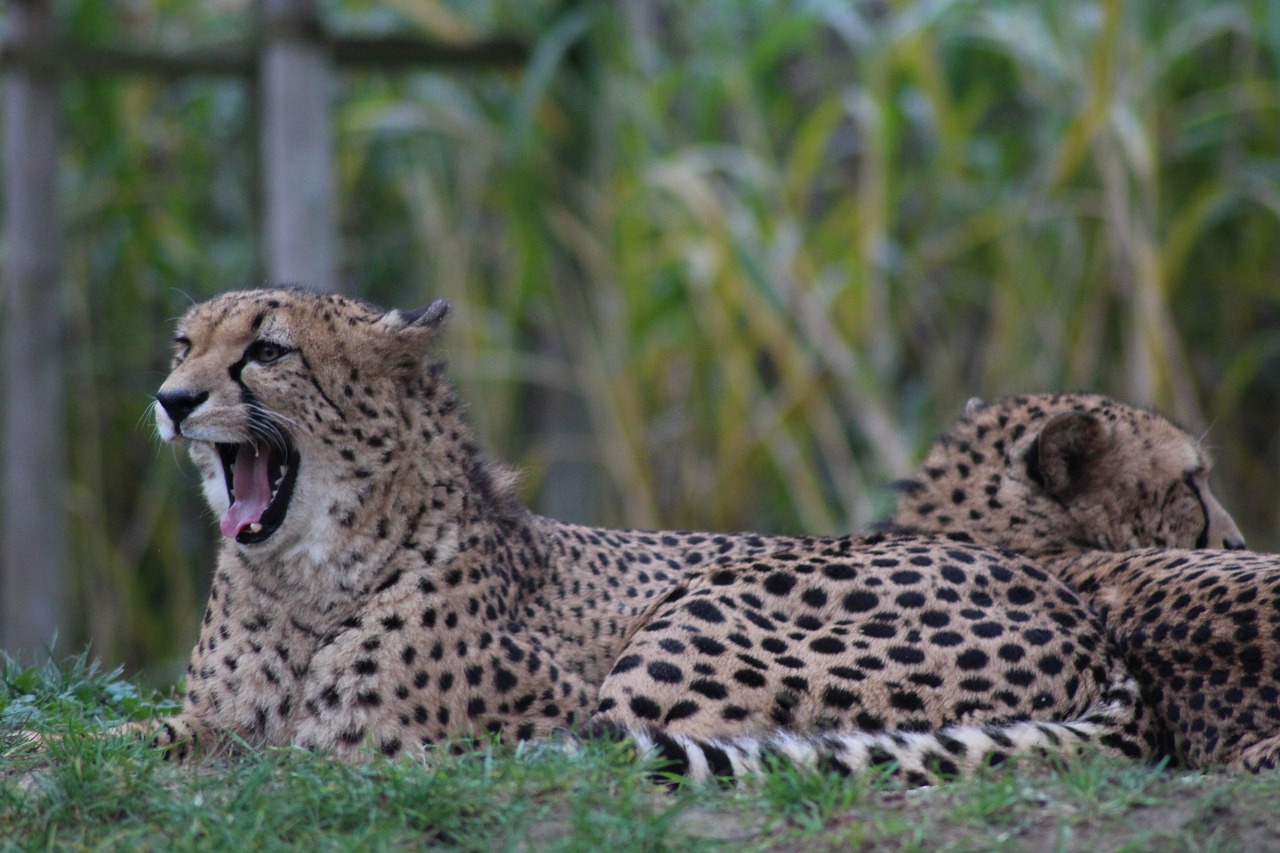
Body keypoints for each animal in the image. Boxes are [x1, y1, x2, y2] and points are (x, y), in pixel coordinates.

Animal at [147, 289, 1239, 778]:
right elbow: (136, 732)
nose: (170, 397)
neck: (302, 576)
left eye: (267, 350)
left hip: (701, 621)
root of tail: (1095, 640)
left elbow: (327, 746)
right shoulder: (209, 717)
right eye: (184, 341)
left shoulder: (473, 723)